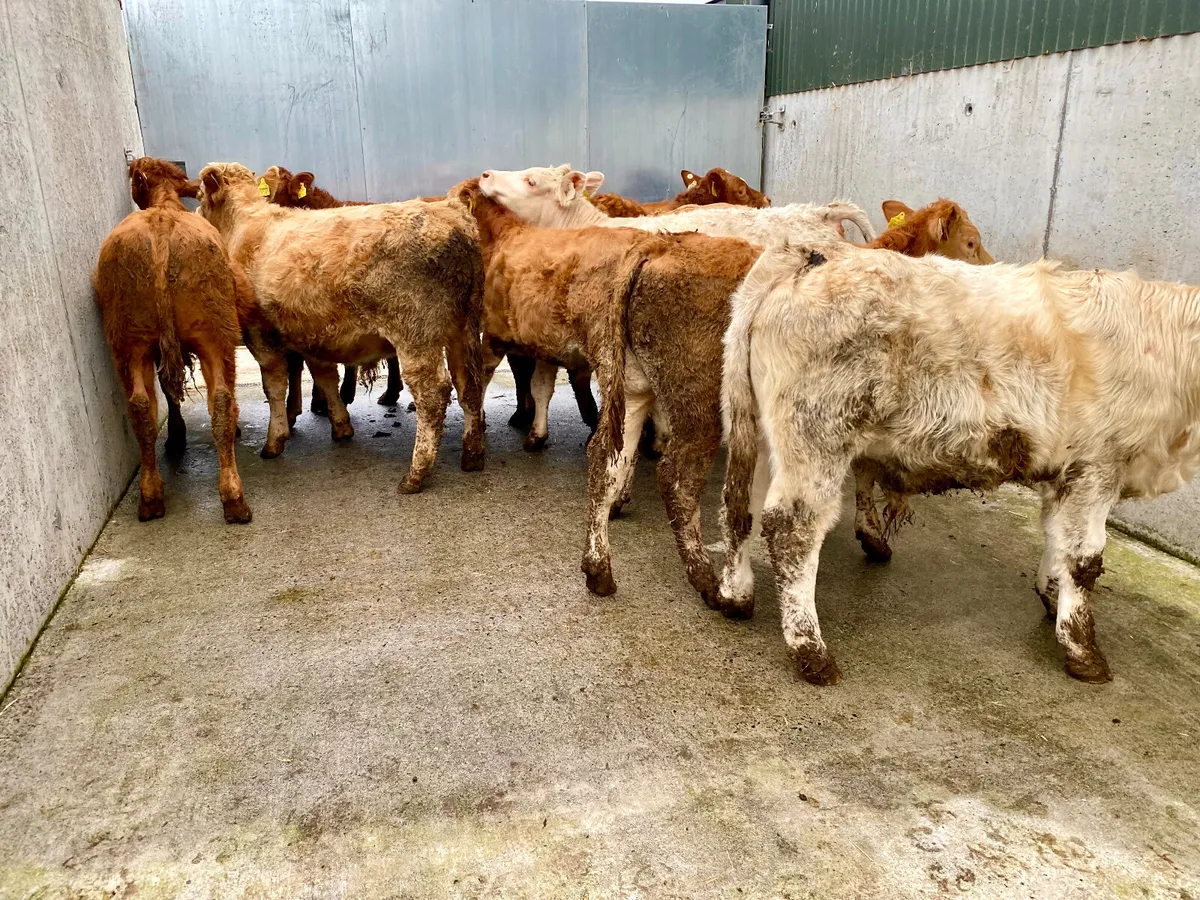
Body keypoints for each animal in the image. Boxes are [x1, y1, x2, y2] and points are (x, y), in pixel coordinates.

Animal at [93, 157, 253, 524]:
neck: (165, 203)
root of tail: (161, 226)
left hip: (134, 340)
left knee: (151, 407)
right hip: (205, 336)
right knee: (206, 402)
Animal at [719, 240, 1200, 685]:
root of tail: (812, 252)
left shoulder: (1065, 474)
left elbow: (1056, 539)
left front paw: (1051, 595)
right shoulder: (1098, 466)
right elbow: (1085, 558)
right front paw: (1083, 651)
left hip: (762, 434)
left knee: (740, 505)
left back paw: (734, 595)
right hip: (816, 439)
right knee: (792, 529)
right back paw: (811, 651)